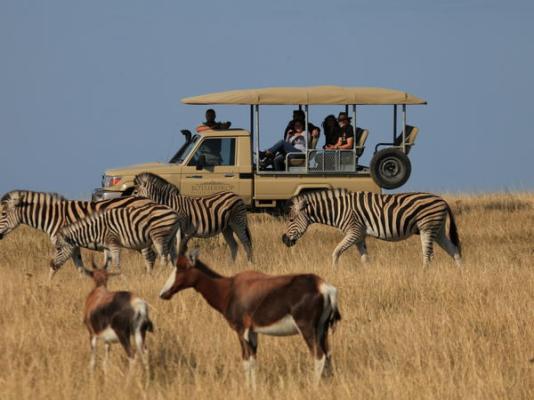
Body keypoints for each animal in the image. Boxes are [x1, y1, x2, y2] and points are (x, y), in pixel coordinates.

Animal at [0, 191, 163, 276]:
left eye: (3, 213)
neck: (53, 216)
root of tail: (148, 199)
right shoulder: (74, 245)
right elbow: (79, 266)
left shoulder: (66, 244)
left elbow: (56, 266)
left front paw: (48, 285)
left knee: (150, 256)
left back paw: (149, 278)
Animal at [51, 205, 186, 274]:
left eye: (58, 249)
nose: (51, 264)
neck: (96, 229)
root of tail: (175, 213)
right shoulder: (107, 247)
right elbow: (107, 264)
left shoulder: (113, 242)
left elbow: (116, 263)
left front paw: (120, 278)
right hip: (170, 238)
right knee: (172, 256)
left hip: (158, 237)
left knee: (163, 257)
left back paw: (160, 273)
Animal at [160, 250, 344, 388]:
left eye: (181, 267)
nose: (163, 293)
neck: (230, 288)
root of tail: (324, 287)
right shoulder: (253, 332)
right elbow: (253, 360)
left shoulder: (241, 331)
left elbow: (246, 360)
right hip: (322, 329)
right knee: (328, 355)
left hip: (307, 329)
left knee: (319, 356)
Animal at [282, 189, 462, 268]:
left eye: (290, 219)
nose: (283, 240)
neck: (339, 210)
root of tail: (442, 200)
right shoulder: (360, 235)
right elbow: (364, 258)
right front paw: (368, 274)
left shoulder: (354, 231)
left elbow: (336, 252)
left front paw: (334, 272)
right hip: (438, 231)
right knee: (454, 251)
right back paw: (460, 273)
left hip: (427, 228)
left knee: (428, 255)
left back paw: (423, 274)